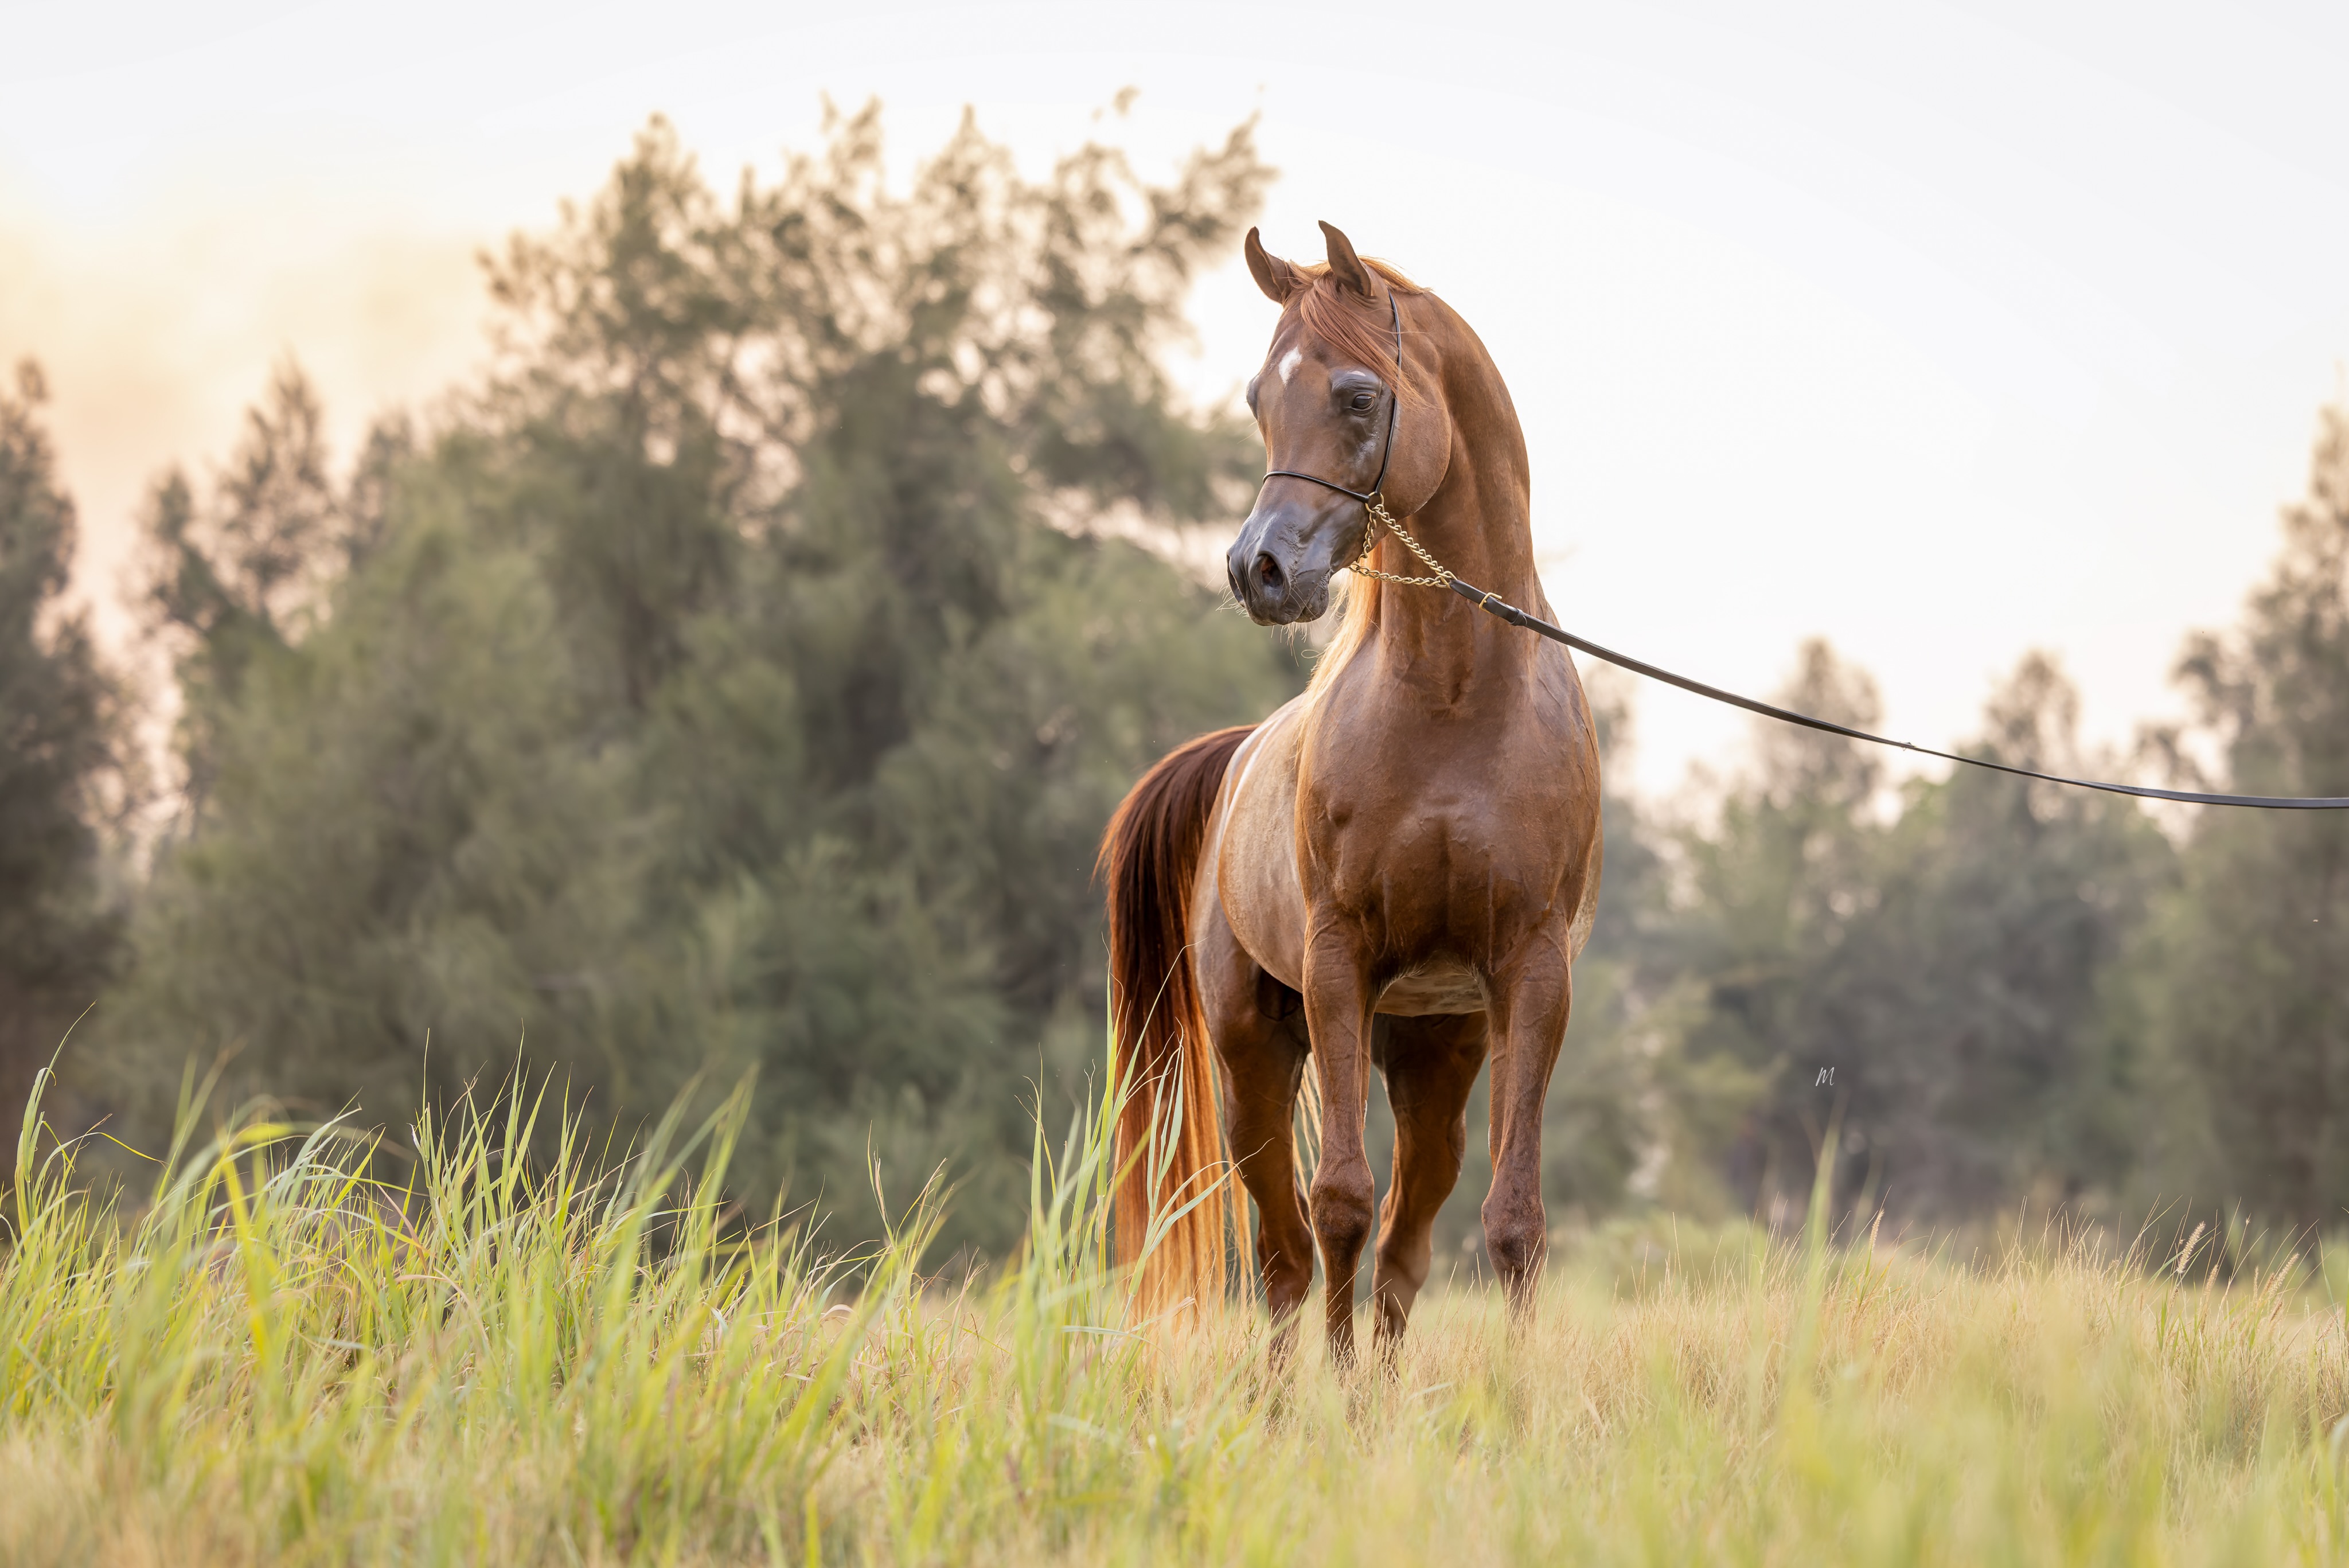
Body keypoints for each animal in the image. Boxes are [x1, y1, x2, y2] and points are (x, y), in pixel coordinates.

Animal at [1099, 221, 1604, 1361]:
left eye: (1359, 396)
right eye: (1259, 398)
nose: (1259, 569)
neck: (1455, 703)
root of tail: (1240, 753)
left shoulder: (1531, 975)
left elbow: (1512, 1220)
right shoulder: (1339, 962)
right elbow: (1339, 1203)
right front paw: (1335, 1400)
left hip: (1431, 1058)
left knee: (1406, 1247)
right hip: (1254, 1055)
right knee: (1287, 1250)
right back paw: (1289, 1394)